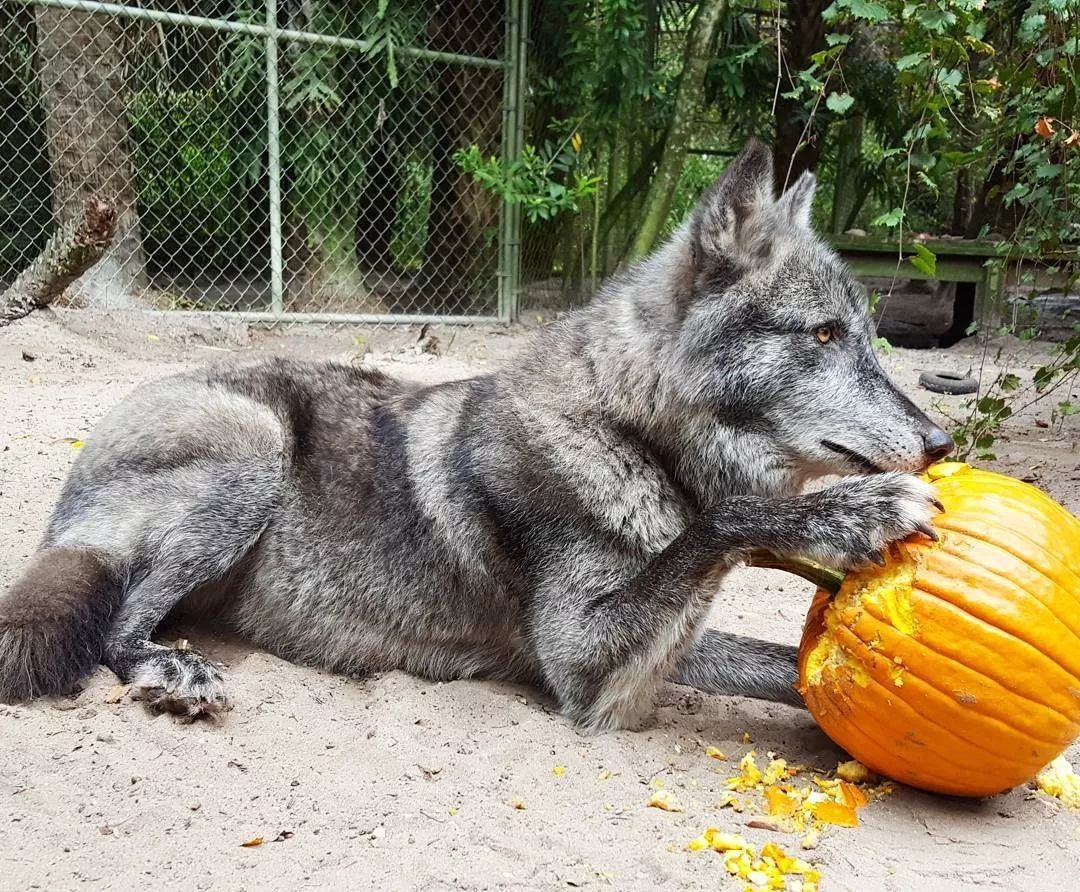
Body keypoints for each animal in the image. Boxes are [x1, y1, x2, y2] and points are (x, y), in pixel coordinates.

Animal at [0, 137, 946, 721]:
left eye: (870, 335)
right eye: (823, 336)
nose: (940, 444)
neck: (625, 435)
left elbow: (782, 661)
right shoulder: (585, 668)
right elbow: (724, 524)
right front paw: (848, 515)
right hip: (254, 453)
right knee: (118, 625)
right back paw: (168, 665)